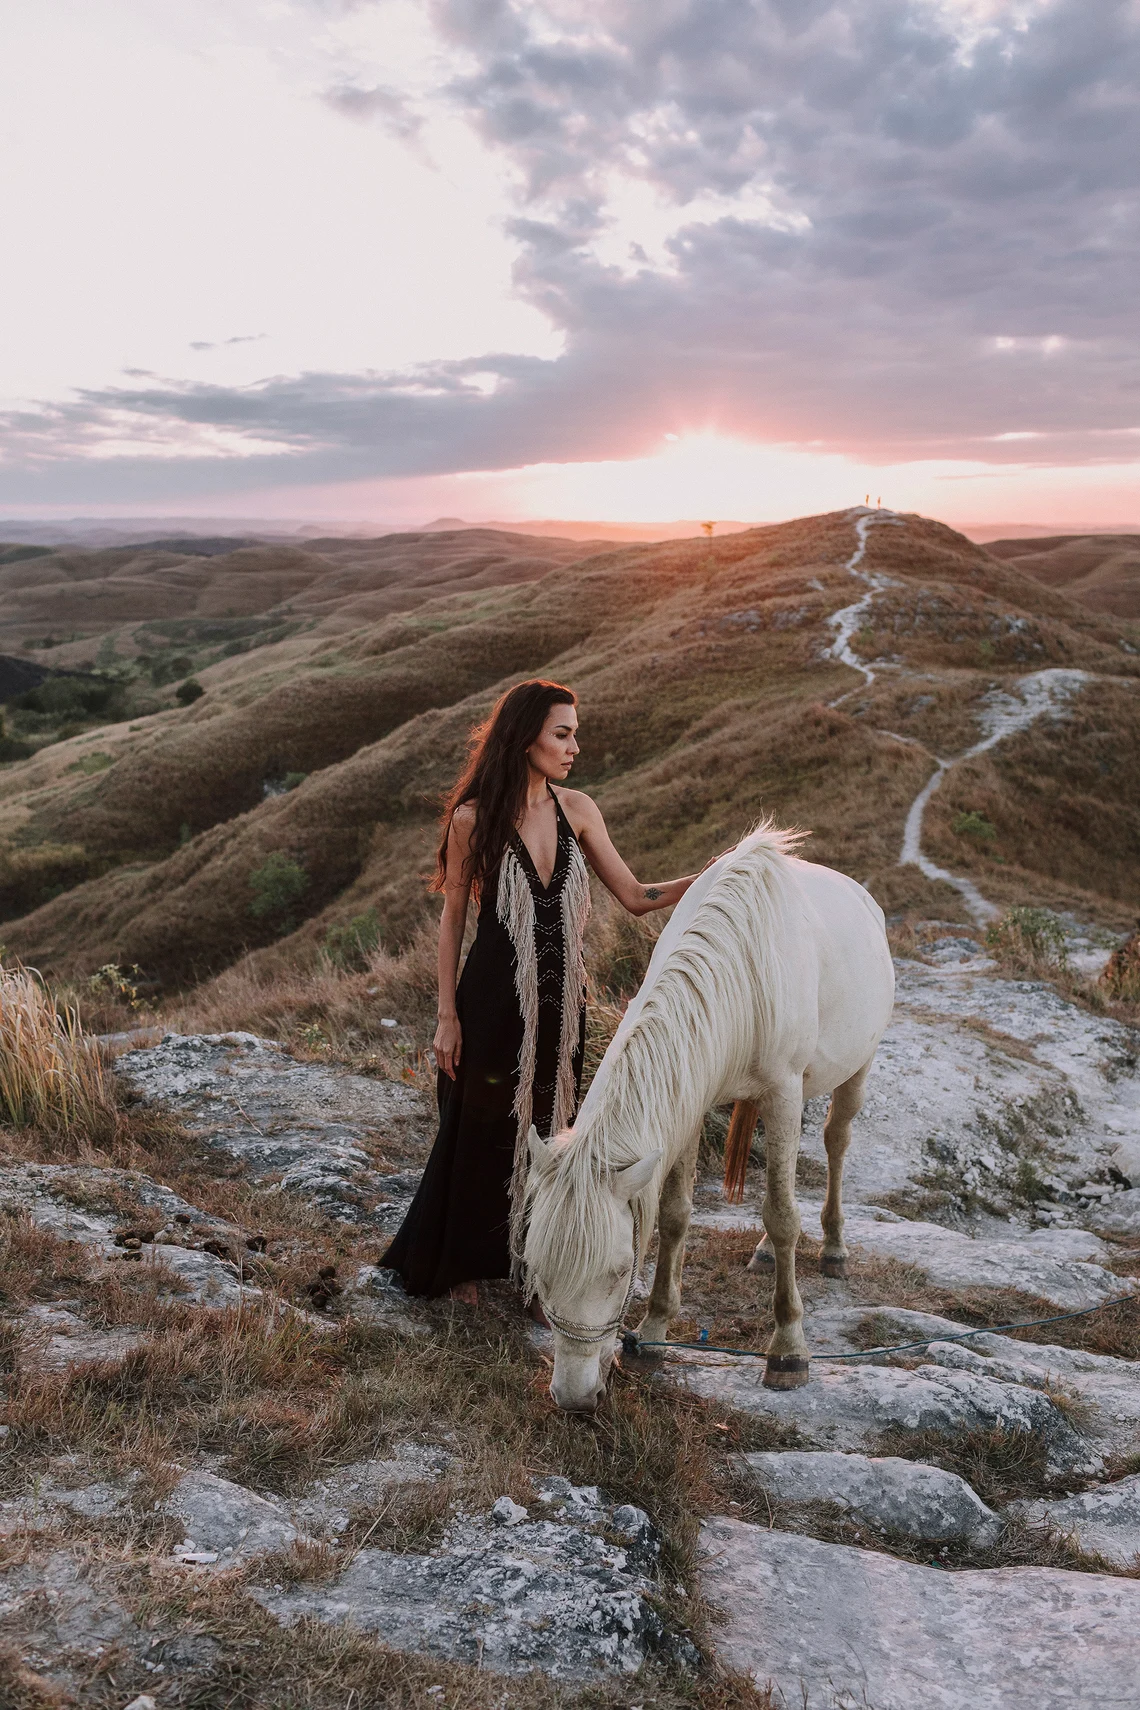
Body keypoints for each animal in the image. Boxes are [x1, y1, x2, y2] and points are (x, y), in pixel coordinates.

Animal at [522, 820, 895, 1409]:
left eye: (619, 1271)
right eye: (538, 1266)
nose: (575, 1397)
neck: (740, 966)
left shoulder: (783, 1091)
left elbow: (782, 1214)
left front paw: (788, 1349)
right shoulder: (691, 1101)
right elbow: (676, 1214)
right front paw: (653, 1331)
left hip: (856, 1069)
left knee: (836, 1141)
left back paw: (834, 1249)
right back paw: (766, 1254)